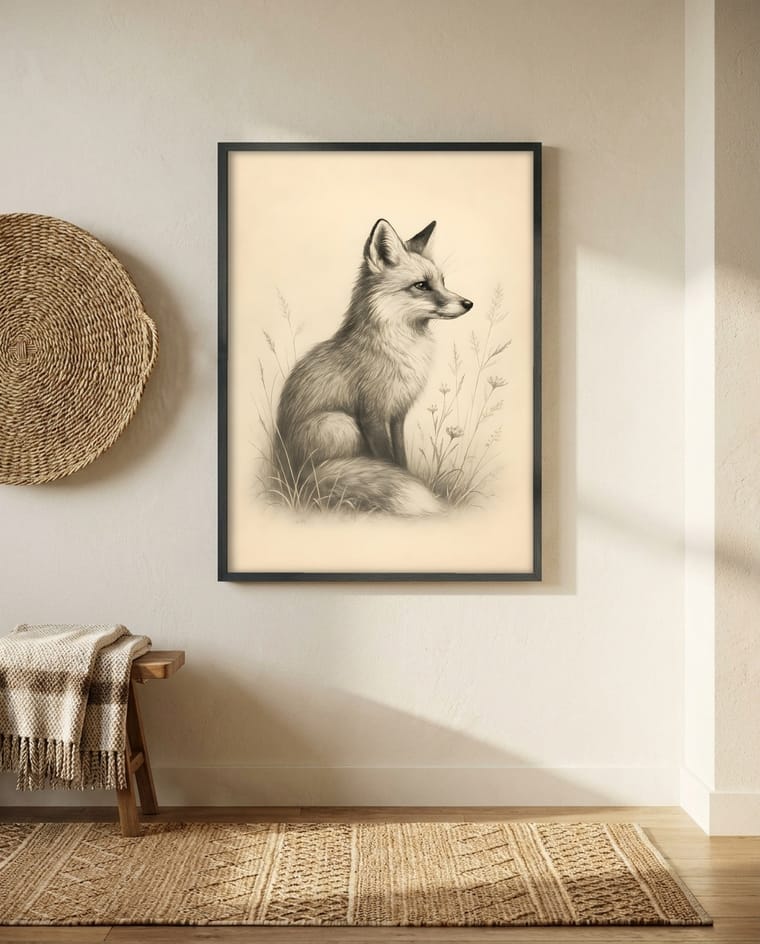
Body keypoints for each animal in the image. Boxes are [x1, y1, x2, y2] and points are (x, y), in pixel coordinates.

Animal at [274, 218, 473, 515]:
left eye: (443, 281)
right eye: (422, 285)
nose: (469, 303)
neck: (400, 350)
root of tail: (289, 475)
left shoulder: (398, 414)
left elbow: (400, 458)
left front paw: (408, 477)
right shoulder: (372, 414)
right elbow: (387, 459)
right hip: (340, 423)